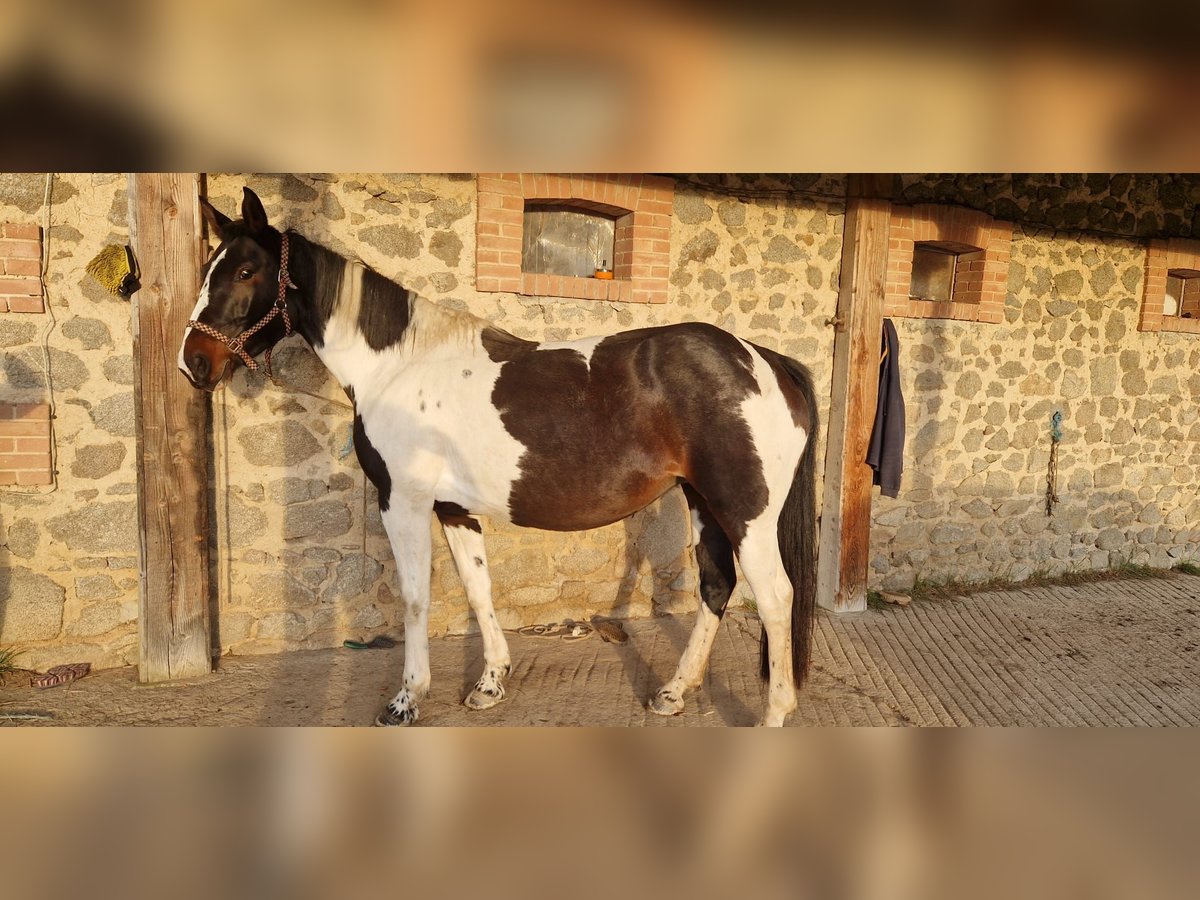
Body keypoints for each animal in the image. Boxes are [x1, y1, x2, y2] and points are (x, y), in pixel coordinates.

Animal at [179, 187, 819, 726]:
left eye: (245, 270)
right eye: (210, 268)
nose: (194, 363)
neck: (398, 367)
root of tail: (761, 358)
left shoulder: (403, 504)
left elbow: (416, 599)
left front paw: (406, 700)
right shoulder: (453, 509)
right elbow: (477, 588)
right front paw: (490, 684)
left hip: (745, 512)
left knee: (775, 597)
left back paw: (773, 714)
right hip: (703, 500)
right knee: (716, 585)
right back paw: (672, 693)